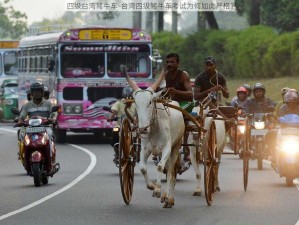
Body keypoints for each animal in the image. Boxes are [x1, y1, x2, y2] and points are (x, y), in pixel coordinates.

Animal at [125, 72, 185, 207]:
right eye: (136, 103)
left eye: (150, 102)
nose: (142, 129)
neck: (154, 129)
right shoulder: (145, 149)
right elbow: (142, 167)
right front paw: (151, 186)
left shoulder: (167, 148)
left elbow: (160, 167)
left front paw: (157, 190)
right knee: (168, 170)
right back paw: (166, 197)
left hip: (176, 146)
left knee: (171, 172)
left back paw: (169, 199)